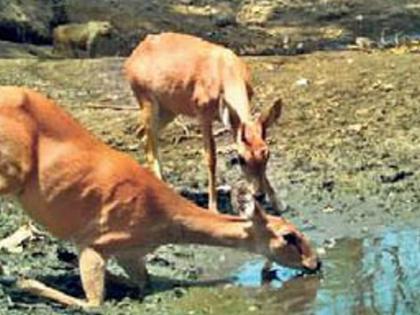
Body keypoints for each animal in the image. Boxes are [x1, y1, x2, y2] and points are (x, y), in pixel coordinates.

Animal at [0, 87, 320, 310]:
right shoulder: (94, 241)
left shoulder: (130, 253)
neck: (162, 219)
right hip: (10, 174)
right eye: (289, 235)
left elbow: (146, 283)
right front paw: (23, 281)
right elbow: (93, 304)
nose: (316, 263)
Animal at [123, 32, 284, 214]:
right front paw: (213, 207)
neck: (226, 73)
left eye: (267, 154)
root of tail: (133, 56)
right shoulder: (202, 112)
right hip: (146, 98)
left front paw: (278, 202)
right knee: (148, 141)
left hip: (169, 108)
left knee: (143, 135)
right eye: (240, 158)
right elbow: (211, 158)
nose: (259, 195)